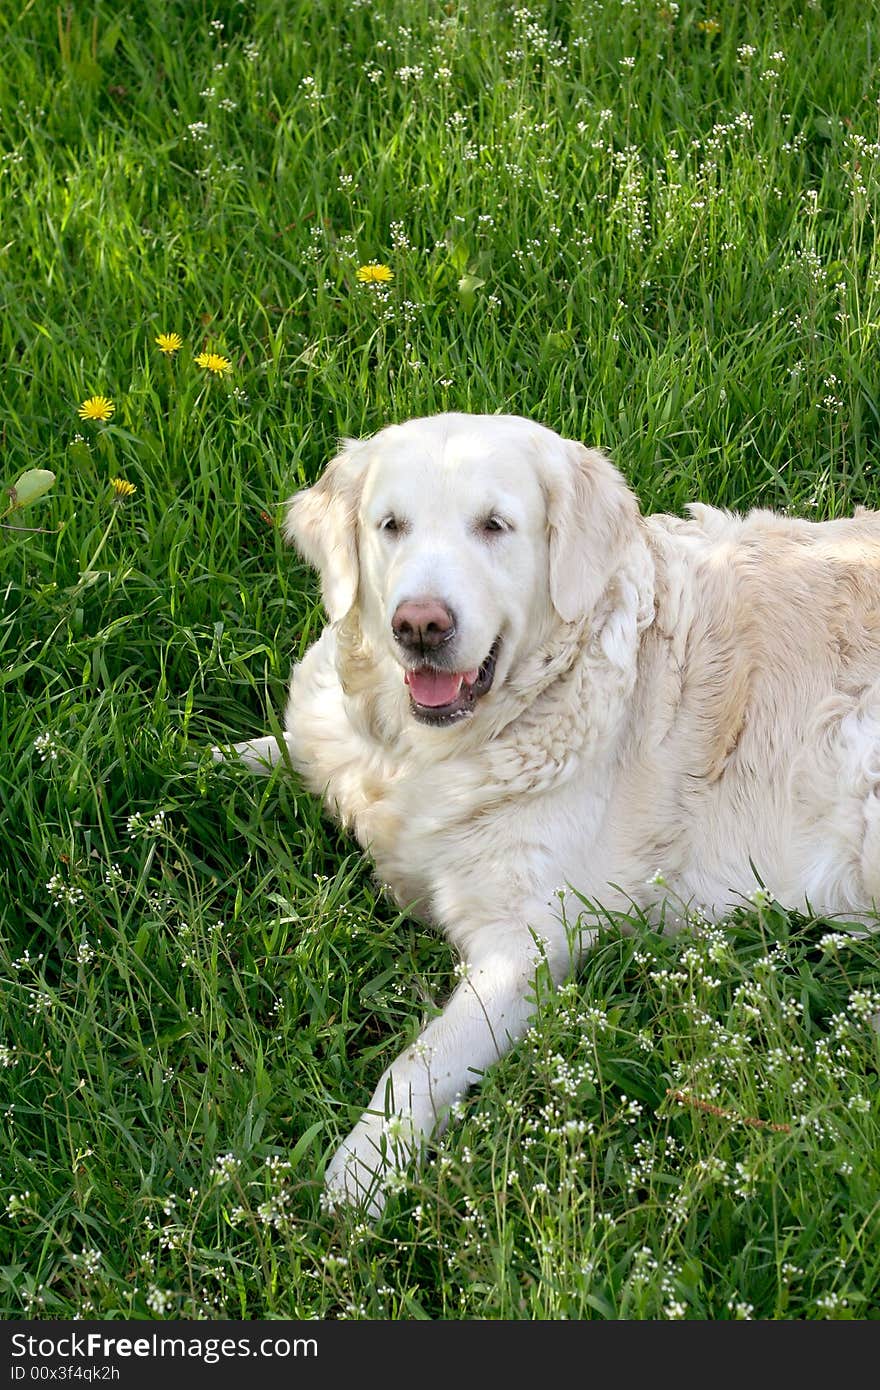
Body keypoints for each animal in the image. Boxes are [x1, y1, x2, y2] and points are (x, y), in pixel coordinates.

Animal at [216, 405, 878, 1212]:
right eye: (391, 525)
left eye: (494, 526)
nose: (420, 625)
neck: (424, 752)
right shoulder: (333, 746)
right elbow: (264, 752)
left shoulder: (528, 942)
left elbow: (415, 1065)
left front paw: (357, 1178)